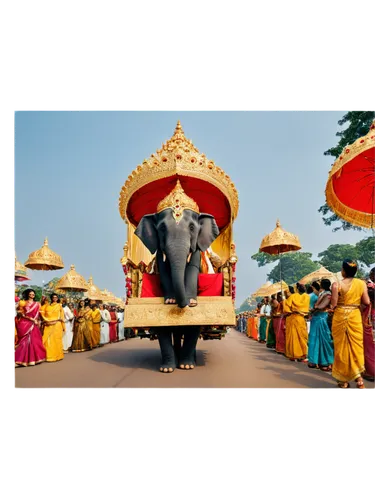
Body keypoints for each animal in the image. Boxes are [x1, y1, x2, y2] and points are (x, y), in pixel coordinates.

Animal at [135, 205, 220, 374]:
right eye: (162, 228)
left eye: (192, 228)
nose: (184, 302)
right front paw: (167, 369)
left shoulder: (197, 250)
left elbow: (193, 267)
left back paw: (189, 361)